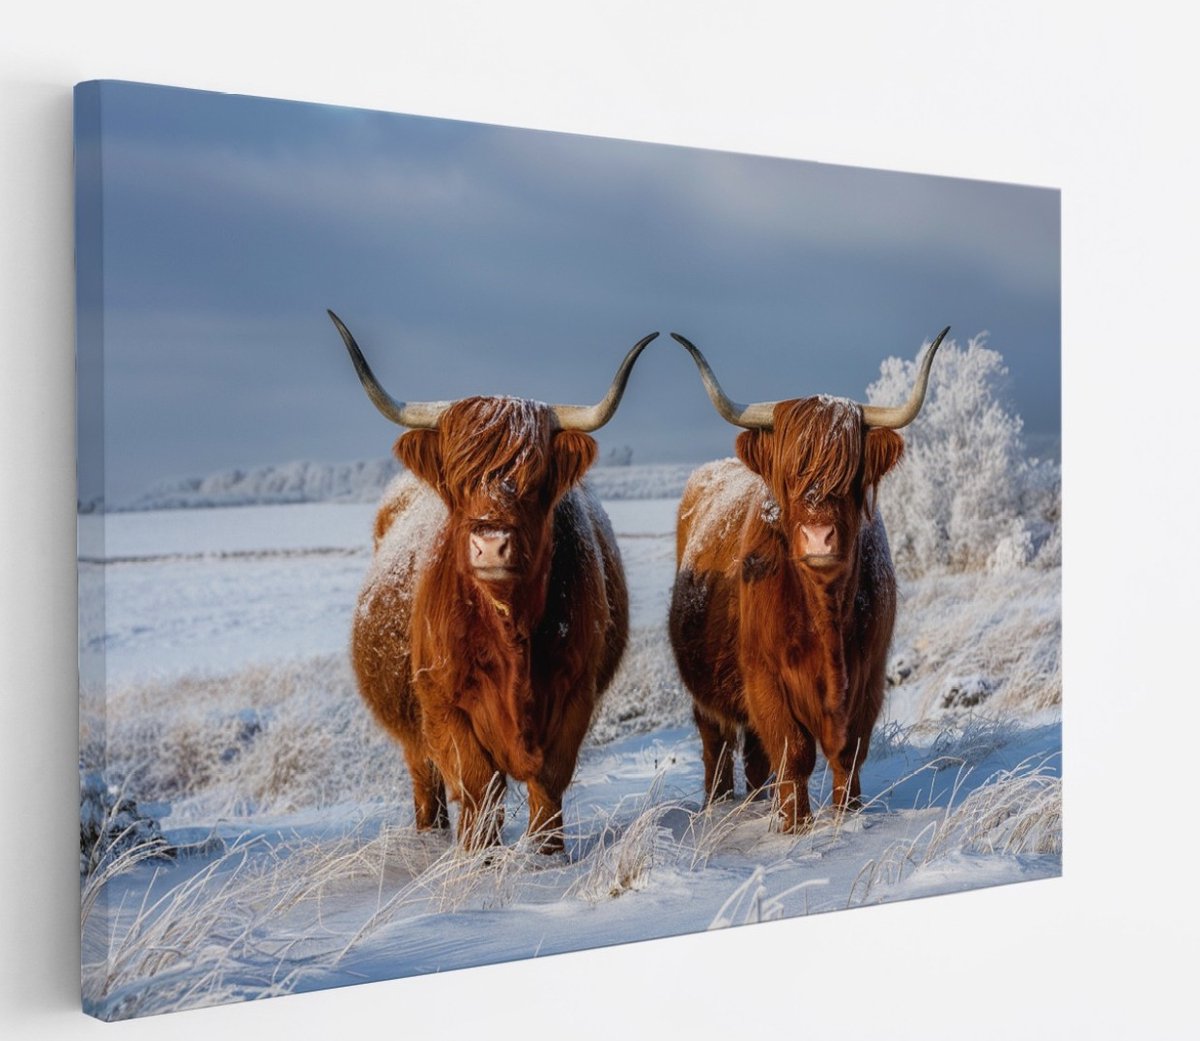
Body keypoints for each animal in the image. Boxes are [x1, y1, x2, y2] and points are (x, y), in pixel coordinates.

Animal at [330, 310, 656, 852]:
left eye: (535, 479)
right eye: (458, 479)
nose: (490, 543)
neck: (510, 629)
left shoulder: (575, 695)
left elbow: (548, 780)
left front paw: (547, 854)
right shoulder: (443, 705)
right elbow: (478, 787)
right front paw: (478, 857)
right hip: (412, 732)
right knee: (426, 783)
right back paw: (430, 838)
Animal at [668, 328, 948, 832]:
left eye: (850, 472)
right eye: (790, 474)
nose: (818, 537)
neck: (825, 608)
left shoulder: (869, 677)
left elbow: (849, 752)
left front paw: (847, 815)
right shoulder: (765, 679)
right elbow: (793, 752)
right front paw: (794, 825)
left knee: (753, 756)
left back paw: (757, 801)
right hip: (707, 691)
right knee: (716, 743)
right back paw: (720, 804)